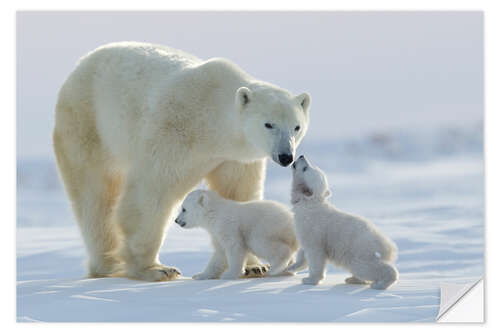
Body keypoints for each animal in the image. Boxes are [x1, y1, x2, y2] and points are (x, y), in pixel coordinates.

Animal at [55, 41, 312, 280]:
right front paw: (154, 269)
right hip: (89, 124)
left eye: (296, 127)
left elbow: (238, 193)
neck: (213, 121)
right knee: (95, 195)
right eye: (269, 124)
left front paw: (255, 266)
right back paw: (109, 266)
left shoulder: (234, 158)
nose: (286, 156)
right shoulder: (174, 131)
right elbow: (151, 193)